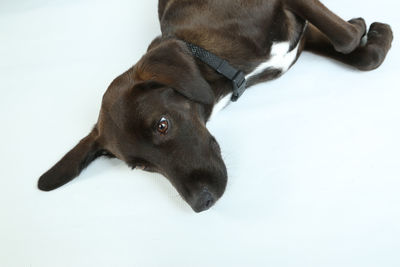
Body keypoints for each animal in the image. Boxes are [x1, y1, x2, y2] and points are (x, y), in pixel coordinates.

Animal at [38, 0, 394, 214]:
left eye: (163, 124)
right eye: (141, 167)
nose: (201, 203)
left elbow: (347, 39)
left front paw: (365, 27)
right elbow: (359, 52)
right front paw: (372, 33)